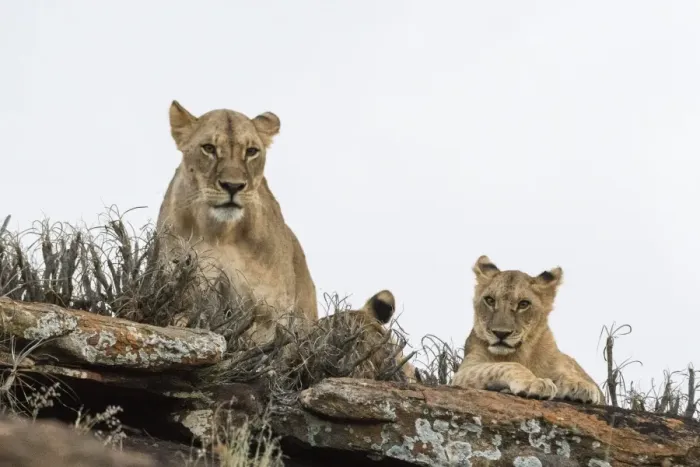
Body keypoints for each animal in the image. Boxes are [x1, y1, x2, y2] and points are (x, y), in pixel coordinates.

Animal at [451, 255, 603, 404]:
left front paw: (580, 384)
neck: (521, 353)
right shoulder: (465, 371)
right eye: (490, 300)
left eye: (523, 304)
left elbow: (566, 372)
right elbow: (505, 365)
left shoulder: (558, 363)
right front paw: (535, 382)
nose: (501, 333)